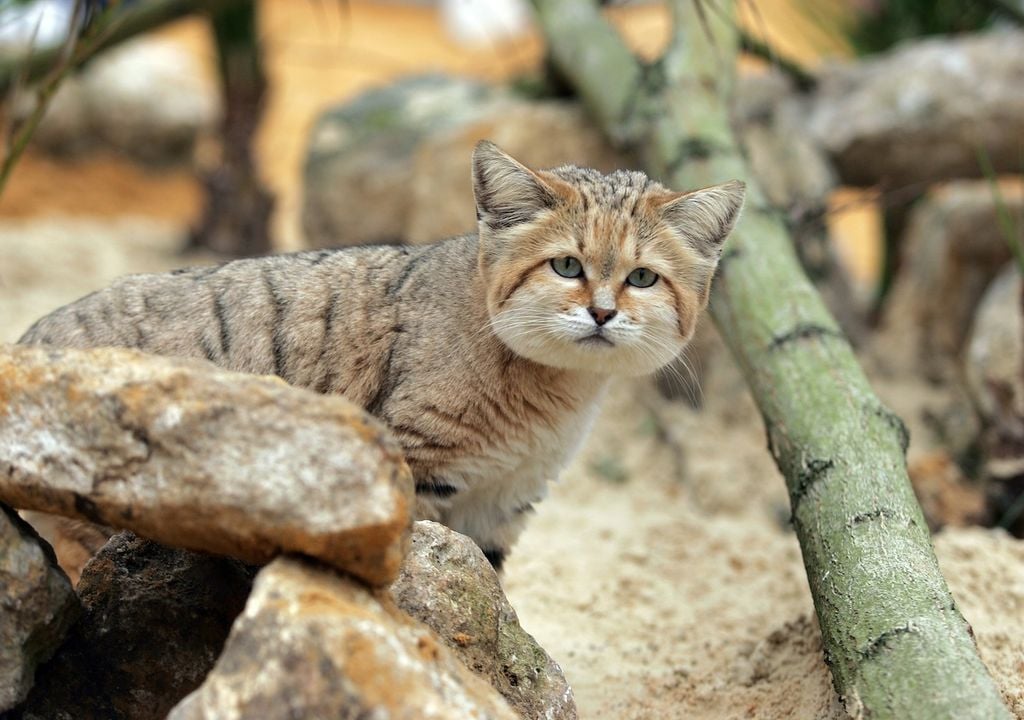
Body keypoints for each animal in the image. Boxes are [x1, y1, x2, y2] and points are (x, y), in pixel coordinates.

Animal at [19, 139, 745, 569]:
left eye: (642, 278)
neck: (552, 399)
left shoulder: (501, 505)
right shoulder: (416, 470)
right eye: (567, 265)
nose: (602, 312)